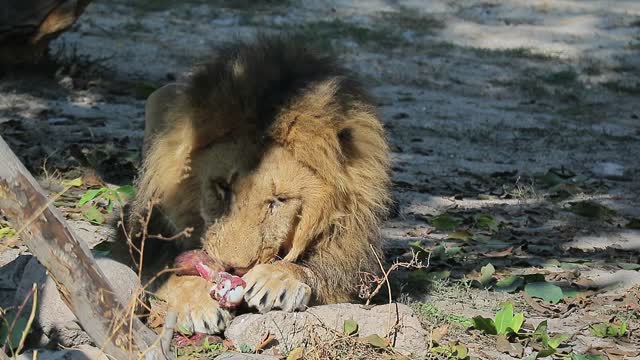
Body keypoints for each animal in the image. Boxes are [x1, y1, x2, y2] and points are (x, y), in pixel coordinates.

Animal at [117, 36, 392, 334]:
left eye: (279, 200)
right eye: (222, 188)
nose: (234, 269)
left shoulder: (354, 259)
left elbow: (318, 271)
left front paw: (277, 279)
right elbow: (160, 268)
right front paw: (195, 302)